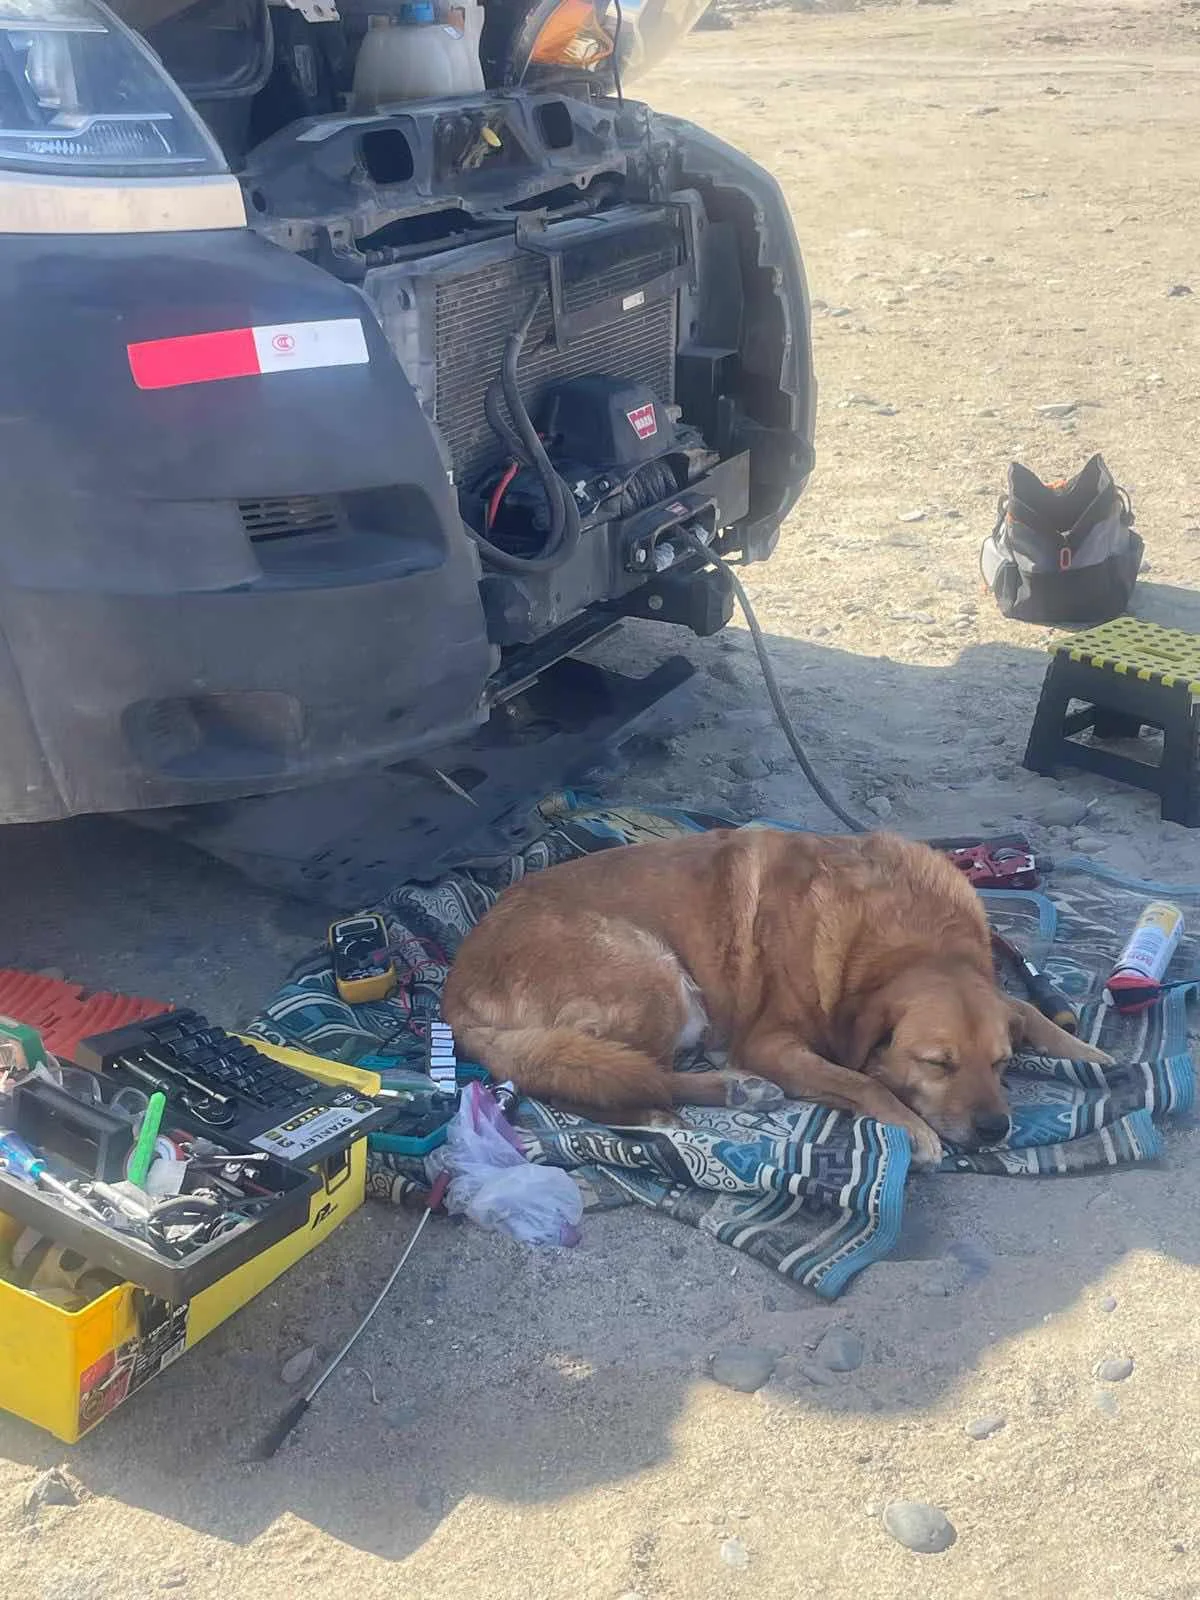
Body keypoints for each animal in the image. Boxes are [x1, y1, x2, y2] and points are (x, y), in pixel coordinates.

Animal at [442, 828, 1111, 1166]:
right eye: (937, 1064)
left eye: (1001, 1064)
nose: (997, 1130)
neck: (904, 941)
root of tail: (455, 986)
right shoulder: (769, 1044)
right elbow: (861, 1080)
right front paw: (912, 1129)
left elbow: (1026, 1010)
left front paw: (1091, 1054)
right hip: (656, 977)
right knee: (593, 1080)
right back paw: (694, 1103)